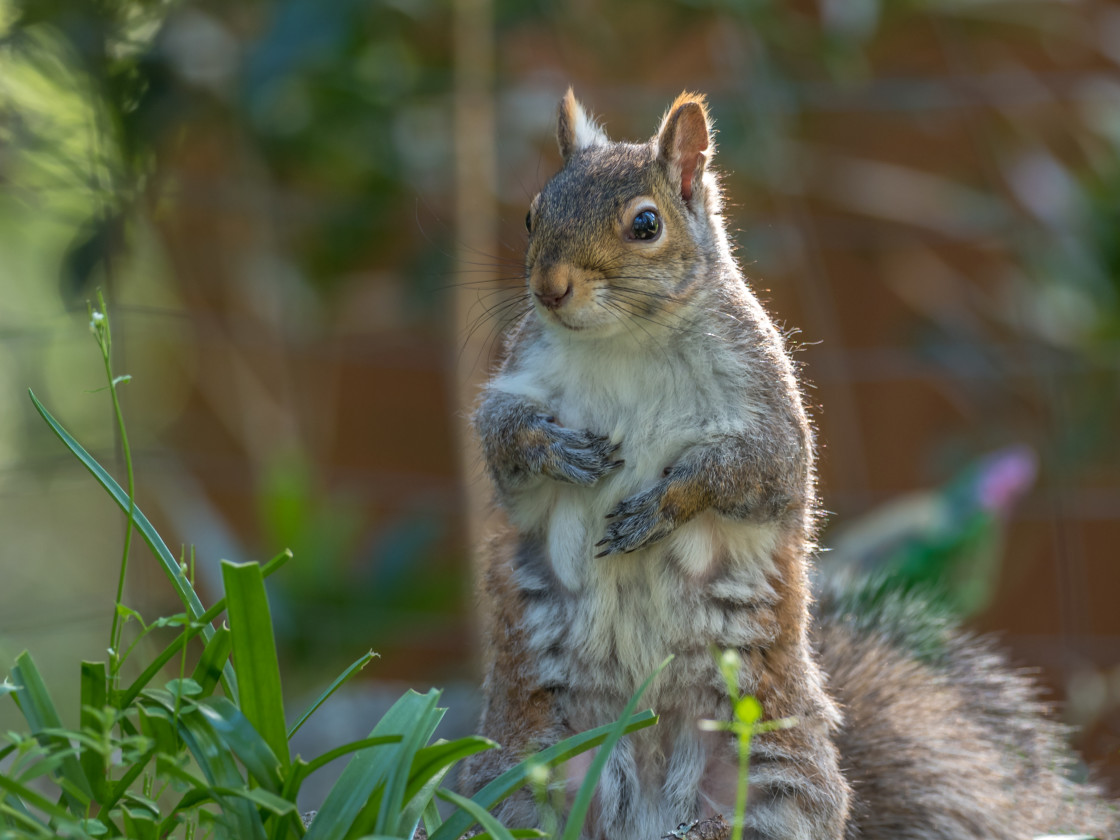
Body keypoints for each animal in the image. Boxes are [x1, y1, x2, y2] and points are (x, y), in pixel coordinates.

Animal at [456, 90, 1120, 840]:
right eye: (533, 213)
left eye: (646, 224)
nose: (550, 288)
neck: (626, 340)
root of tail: (646, 810)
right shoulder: (520, 379)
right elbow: (500, 436)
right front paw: (556, 449)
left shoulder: (770, 414)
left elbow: (753, 473)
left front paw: (662, 506)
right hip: (527, 771)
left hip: (776, 770)